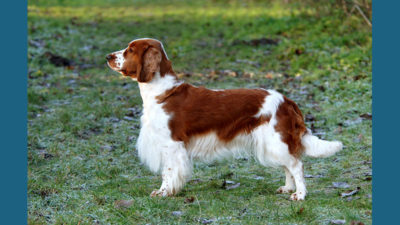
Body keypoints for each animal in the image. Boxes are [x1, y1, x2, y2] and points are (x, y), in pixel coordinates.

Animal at [104, 37, 342, 200]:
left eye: (130, 50)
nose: (108, 57)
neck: (162, 92)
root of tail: (287, 100)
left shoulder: (171, 145)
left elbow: (168, 172)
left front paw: (163, 192)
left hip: (277, 140)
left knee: (296, 165)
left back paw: (300, 195)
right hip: (274, 143)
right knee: (288, 165)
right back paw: (288, 188)